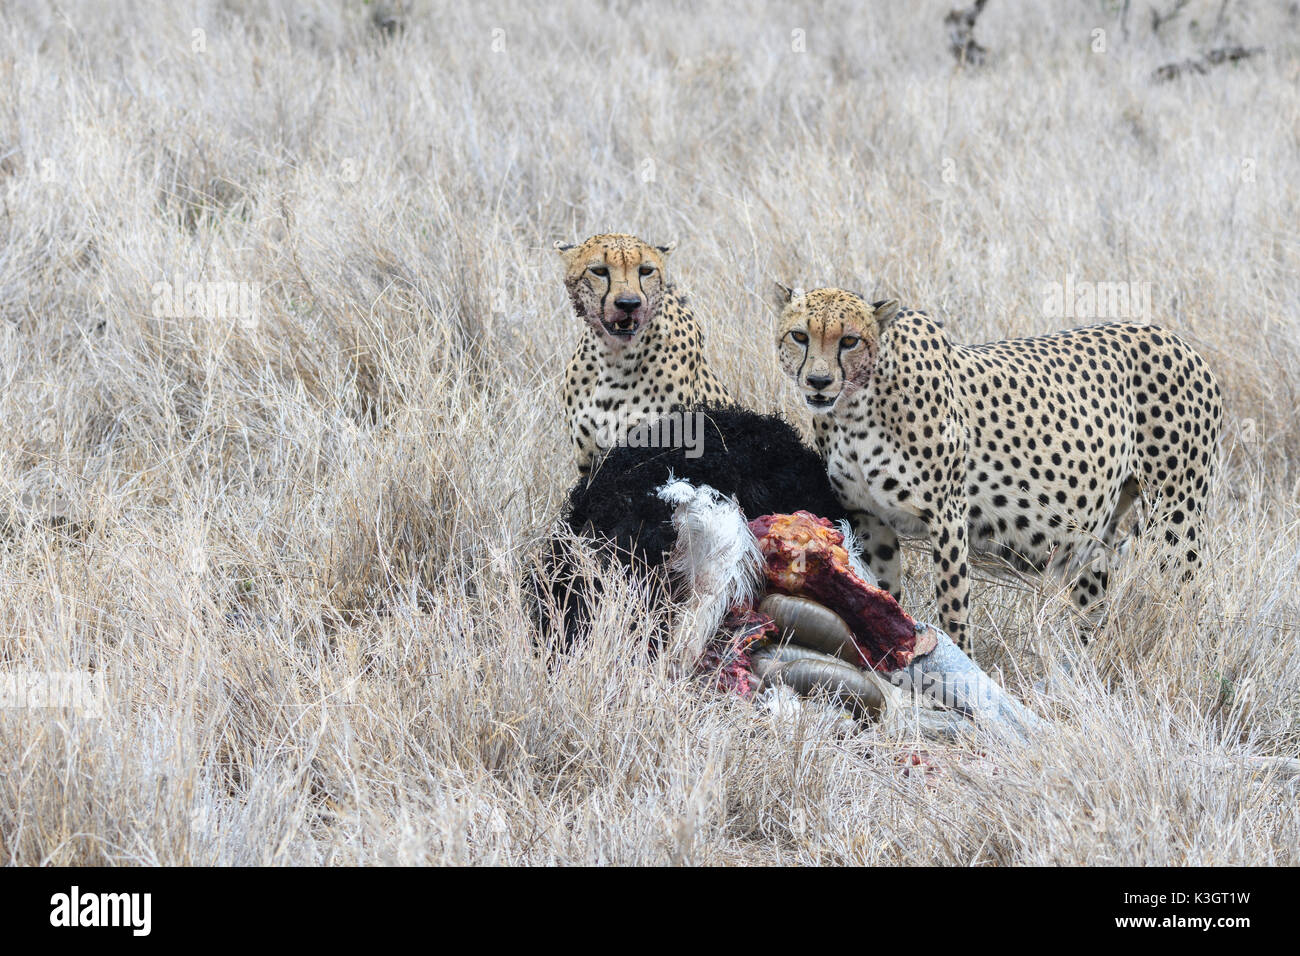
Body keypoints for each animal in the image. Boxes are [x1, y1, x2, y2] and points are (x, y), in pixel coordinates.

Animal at [774, 287, 1222, 655]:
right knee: (1094, 605)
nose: (818, 381)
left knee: (1188, 595)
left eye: (849, 340)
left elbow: (953, 604)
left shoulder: (947, 515)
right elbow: (881, 590)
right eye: (800, 336)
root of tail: (1174, 338)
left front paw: (960, 670)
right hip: (1101, 532)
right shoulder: (869, 517)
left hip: (1176, 514)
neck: (855, 408)